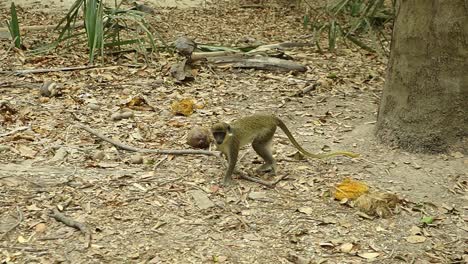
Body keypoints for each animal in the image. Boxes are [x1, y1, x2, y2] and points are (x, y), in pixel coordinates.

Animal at [210, 113, 360, 184]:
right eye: (216, 134)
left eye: (221, 133)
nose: (218, 139)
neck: (226, 139)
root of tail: (271, 117)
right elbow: (228, 158)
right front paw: (233, 170)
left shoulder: (233, 142)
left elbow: (233, 159)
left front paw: (227, 179)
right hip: (270, 132)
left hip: (268, 129)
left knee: (257, 145)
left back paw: (271, 164)